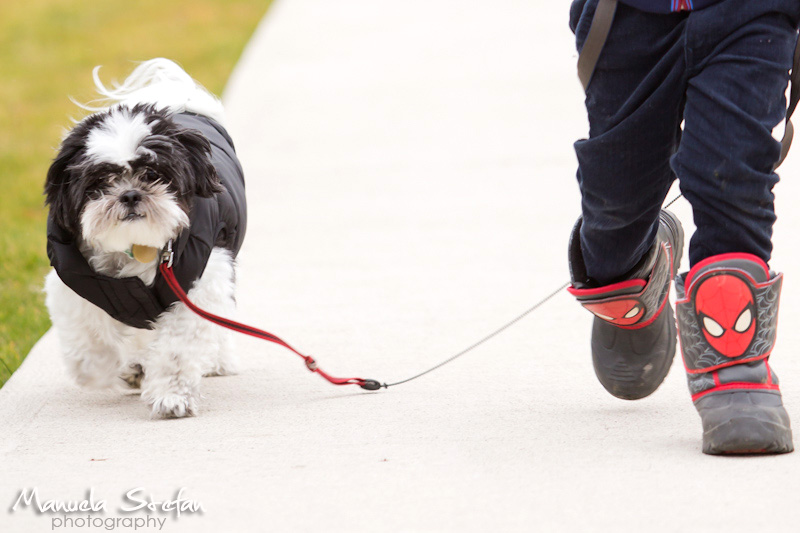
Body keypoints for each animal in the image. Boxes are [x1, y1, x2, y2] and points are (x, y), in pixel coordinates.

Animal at [45, 58, 245, 416]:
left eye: (153, 174)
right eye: (101, 181)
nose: (130, 194)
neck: (135, 247)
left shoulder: (199, 282)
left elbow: (179, 347)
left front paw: (172, 395)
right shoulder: (72, 285)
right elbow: (88, 345)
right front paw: (115, 370)